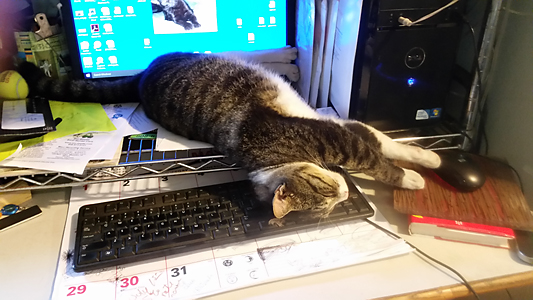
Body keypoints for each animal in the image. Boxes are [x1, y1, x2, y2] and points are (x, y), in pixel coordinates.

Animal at [17, 51, 440, 220]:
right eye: (326, 200)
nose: (342, 193)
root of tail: (139, 80)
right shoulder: (337, 137)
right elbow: (376, 154)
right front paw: (415, 177)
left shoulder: (335, 130)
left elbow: (383, 141)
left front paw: (427, 157)